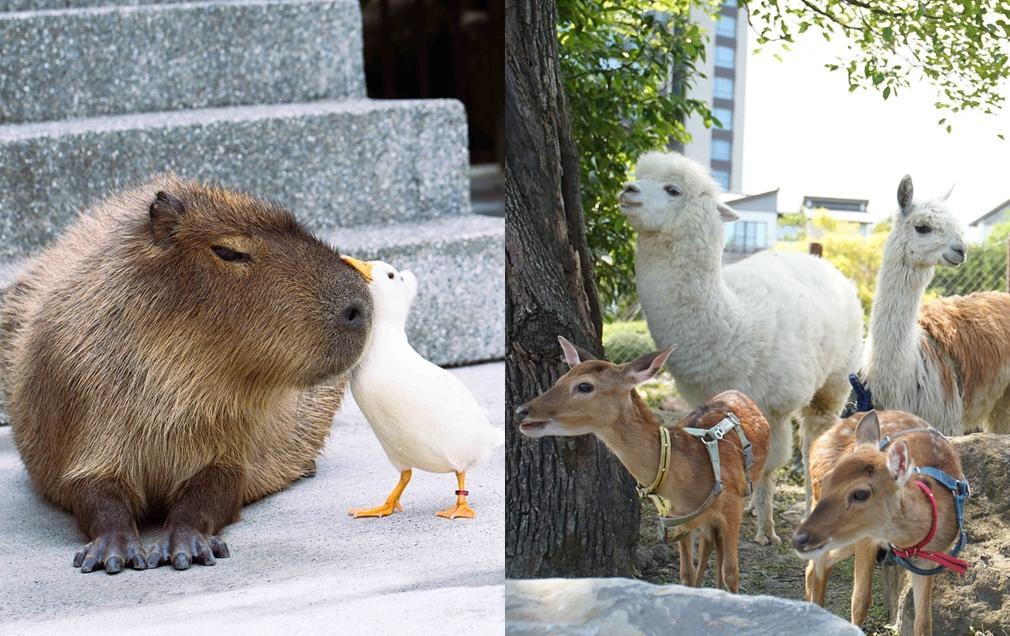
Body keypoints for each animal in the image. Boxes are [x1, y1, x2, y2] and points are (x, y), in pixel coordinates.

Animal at [517, 339, 767, 593]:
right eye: (559, 379)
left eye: (584, 386)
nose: (522, 410)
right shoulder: (677, 516)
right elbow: (686, 574)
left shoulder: (733, 503)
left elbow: (732, 573)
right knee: (710, 541)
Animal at [791, 411, 965, 633]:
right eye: (828, 480)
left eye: (860, 493)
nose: (798, 539)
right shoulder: (866, 539)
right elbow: (860, 600)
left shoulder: (930, 558)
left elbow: (924, 620)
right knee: (817, 565)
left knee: (818, 564)